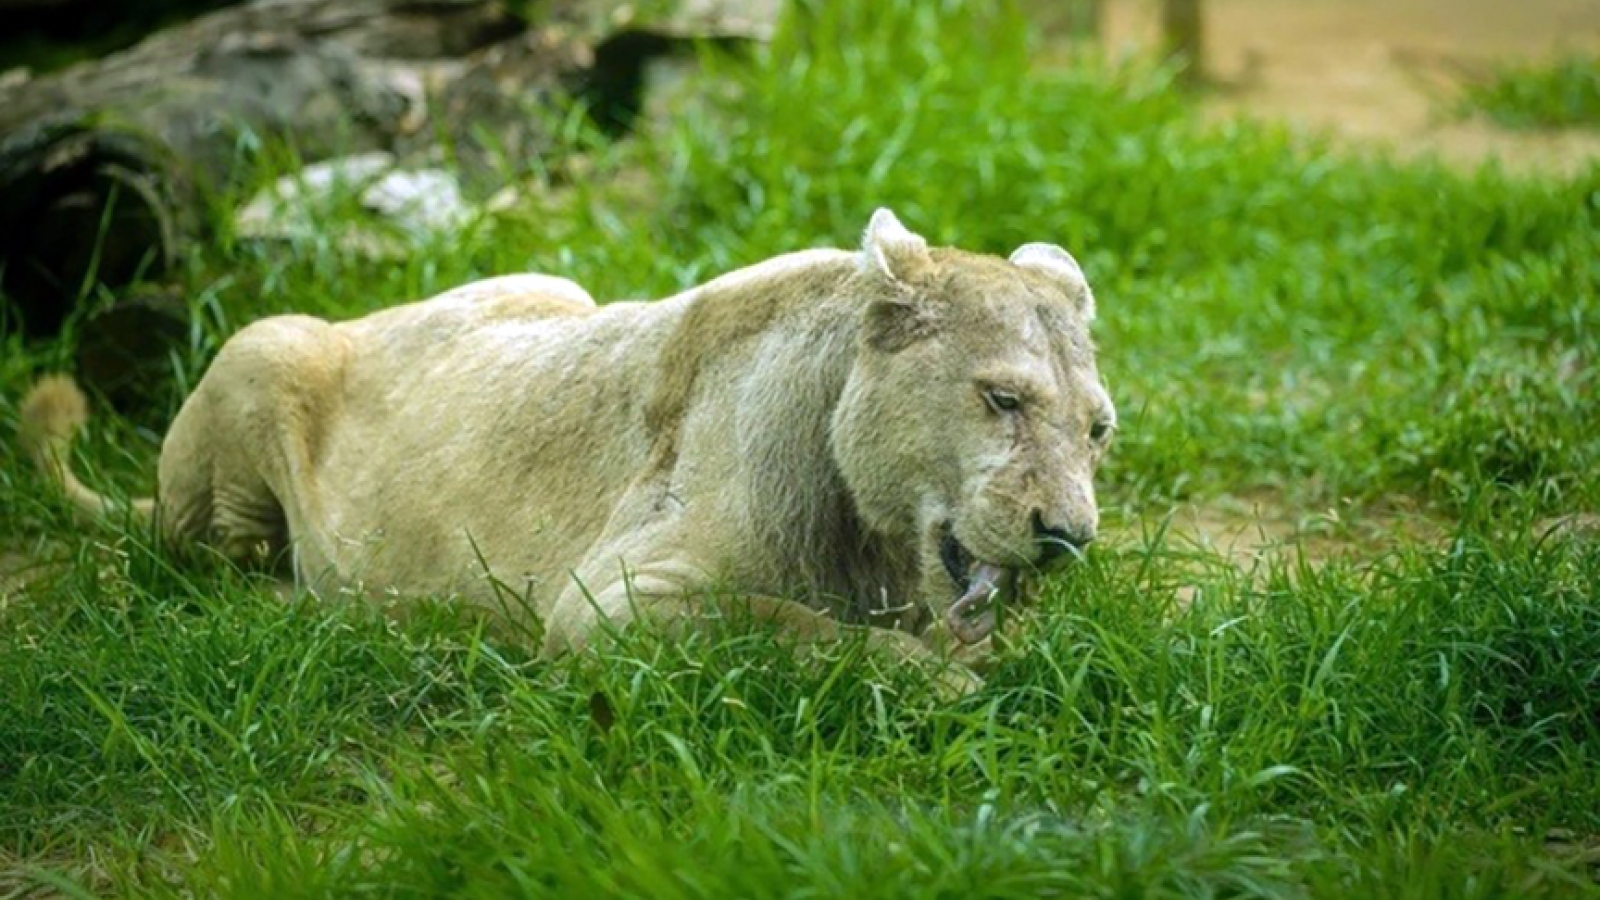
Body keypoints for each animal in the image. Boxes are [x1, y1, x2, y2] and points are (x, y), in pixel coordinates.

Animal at [20, 209, 1115, 674]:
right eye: (1003, 399)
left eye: (1097, 431)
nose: (1066, 536)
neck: (876, 535)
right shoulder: (611, 603)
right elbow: (793, 627)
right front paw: (947, 680)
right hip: (262, 348)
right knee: (207, 568)